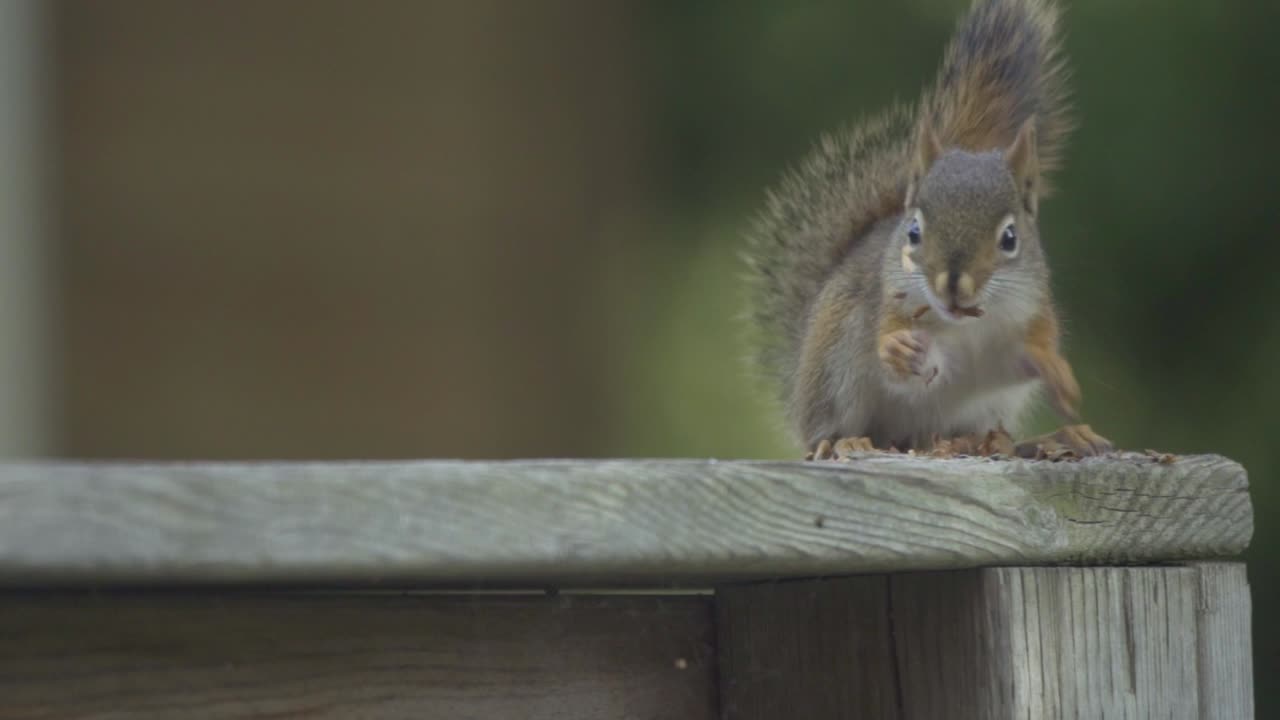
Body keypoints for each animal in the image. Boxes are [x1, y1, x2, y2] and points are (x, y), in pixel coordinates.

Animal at [744, 0, 1111, 459]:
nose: (953, 285)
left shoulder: (1025, 320)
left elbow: (1026, 358)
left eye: (1010, 238)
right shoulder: (890, 302)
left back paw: (1044, 438)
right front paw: (898, 349)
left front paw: (1057, 373)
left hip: (982, 410)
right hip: (832, 368)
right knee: (827, 430)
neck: (964, 327)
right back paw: (843, 441)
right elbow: (898, 361)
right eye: (914, 232)